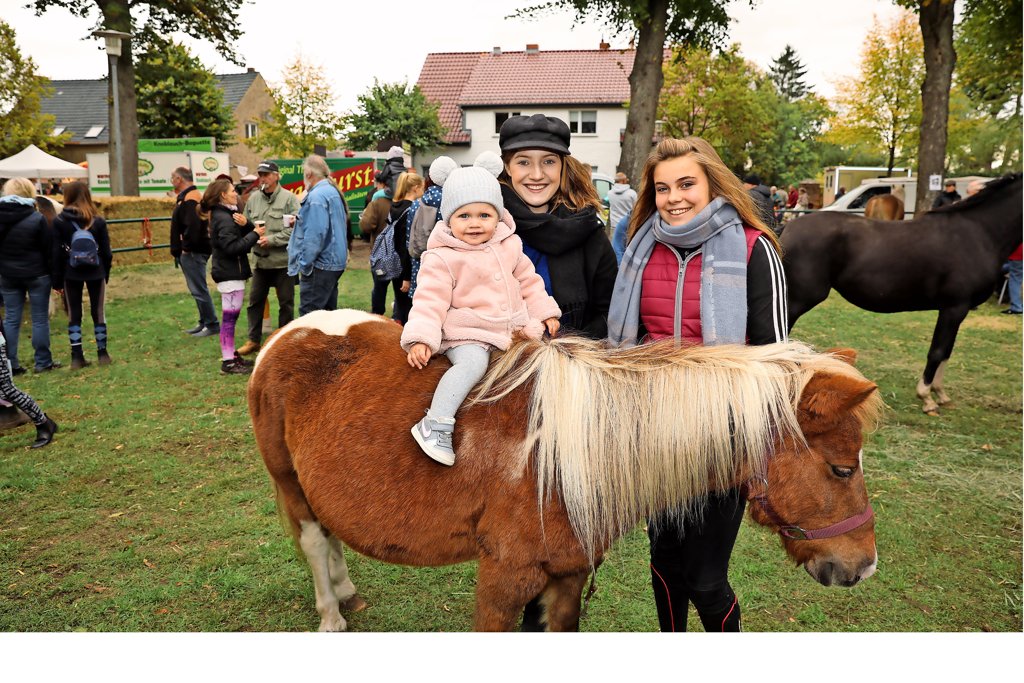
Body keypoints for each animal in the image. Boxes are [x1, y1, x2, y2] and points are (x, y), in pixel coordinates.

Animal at [247, 309, 880, 630]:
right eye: (841, 469)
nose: (863, 567)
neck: (566, 456)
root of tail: (289, 332)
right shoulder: (502, 583)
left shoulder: (569, 577)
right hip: (288, 482)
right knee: (314, 540)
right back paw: (332, 615)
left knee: (332, 535)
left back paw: (347, 593)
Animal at [782, 174, 1015, 413]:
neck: (977, 233)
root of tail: (787, 228)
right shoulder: (954, 308)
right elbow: (937, 351)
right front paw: (927, 398)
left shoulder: (957, 311)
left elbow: (946, 352)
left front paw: (941, 394)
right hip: (797, 301)